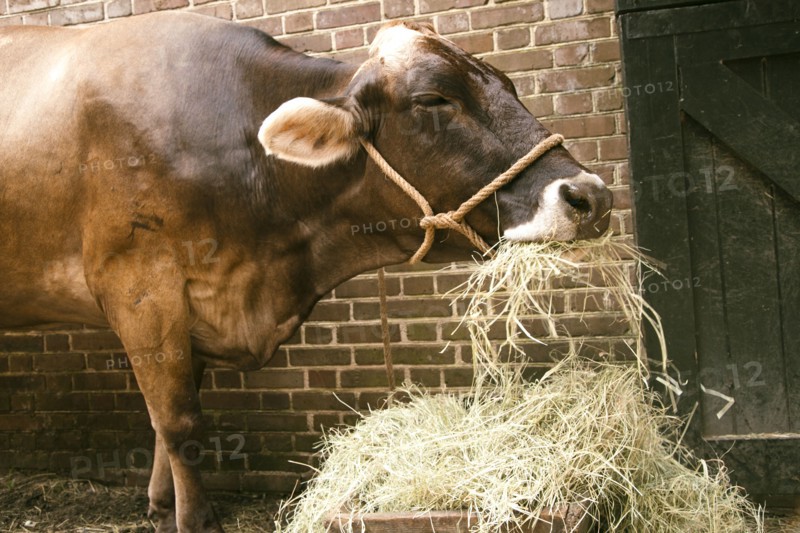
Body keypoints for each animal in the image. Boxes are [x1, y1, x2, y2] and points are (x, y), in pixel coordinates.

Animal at [0, 12, 612, 532]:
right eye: (434, 99)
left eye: (509, 87)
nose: (591, 196)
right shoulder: (140, 284)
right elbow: (179, 421)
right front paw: (196, 519)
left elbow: (164, 415)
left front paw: (159, 503)